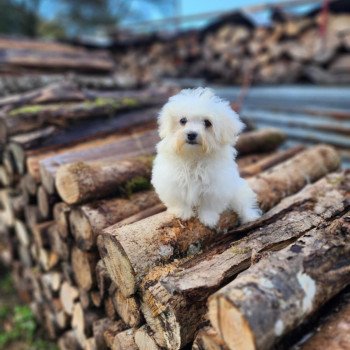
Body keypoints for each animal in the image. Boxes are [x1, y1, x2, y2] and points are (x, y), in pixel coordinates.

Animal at [150, 87, 260, 227]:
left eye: (207, 123)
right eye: (183, 121)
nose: (191, 134)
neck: (193, 156)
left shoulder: (217, 186)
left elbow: (210, 204)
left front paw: (208, 218)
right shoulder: (171, 180)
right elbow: (178, 198)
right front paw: (182, 213)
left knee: (243, 202)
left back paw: (250, 216)